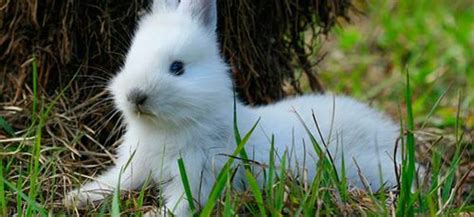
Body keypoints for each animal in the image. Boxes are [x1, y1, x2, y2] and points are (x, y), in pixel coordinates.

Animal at [65, 0, 402, 214]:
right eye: (129, 60)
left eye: (177, 68)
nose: (135, 96)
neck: (167, 127)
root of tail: (388, 131)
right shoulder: (135, 166)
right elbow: (117, 181)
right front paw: (77, 197)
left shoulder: (198, 176)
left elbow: (182, 204)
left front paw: (153, 215)